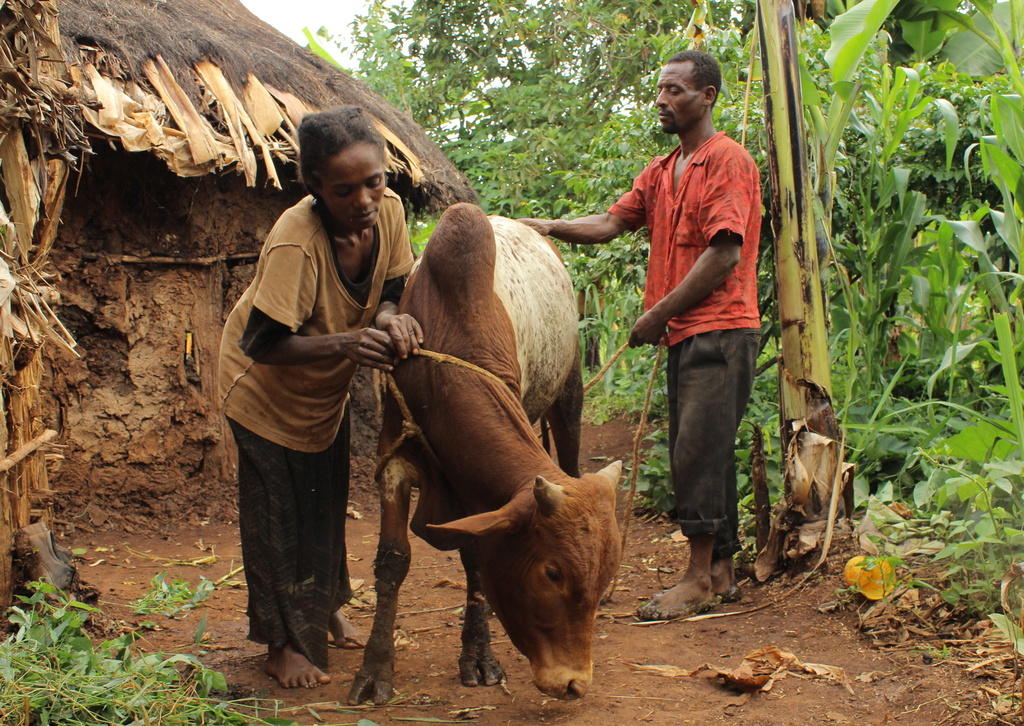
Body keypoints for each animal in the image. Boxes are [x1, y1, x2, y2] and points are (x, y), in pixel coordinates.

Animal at [348, 202, 618, 700]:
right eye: (552, 572)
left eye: (604, 571)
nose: (574, 683)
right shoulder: (394, 457)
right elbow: (392, 559)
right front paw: (374, 670)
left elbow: (475, 560)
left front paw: (478, 655)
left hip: (569, 389)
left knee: (569, 455)